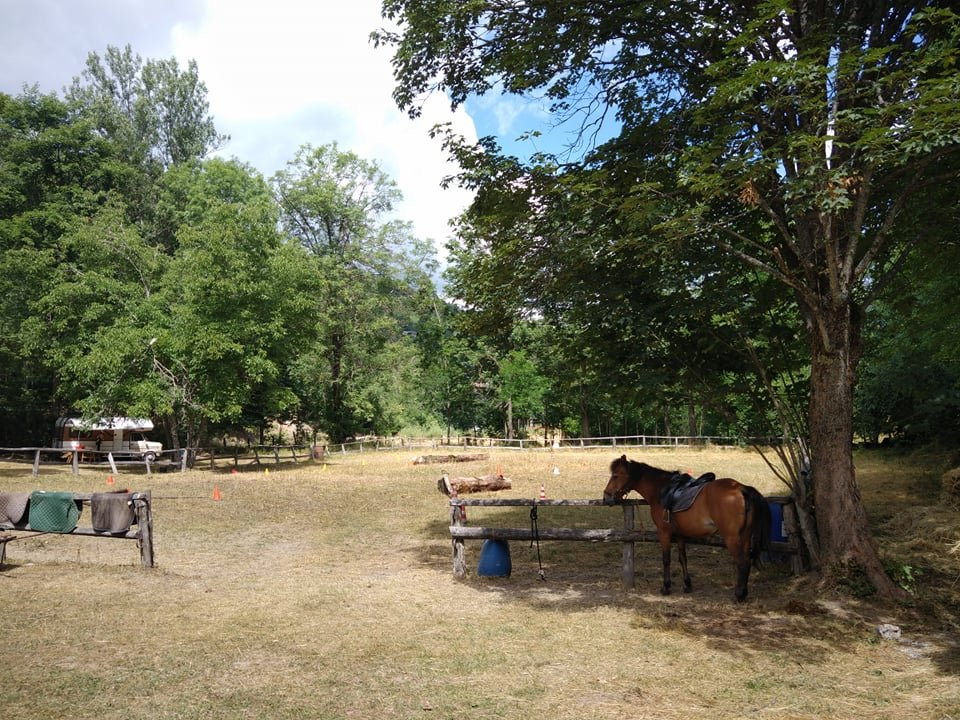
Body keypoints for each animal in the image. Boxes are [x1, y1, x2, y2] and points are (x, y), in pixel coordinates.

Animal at [608, 456, 772, 600]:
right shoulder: (680, 535)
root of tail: (741, 488)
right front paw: (687, 584)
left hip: (732, 538)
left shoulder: (664, 532)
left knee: (743, 563)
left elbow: (666, 559)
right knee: (747, 562)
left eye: (615, 476)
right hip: (745, 537)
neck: (660, 490)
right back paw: (743, 593)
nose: (606, 496)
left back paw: (739, 595)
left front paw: (666, 587)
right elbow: (683, 558)